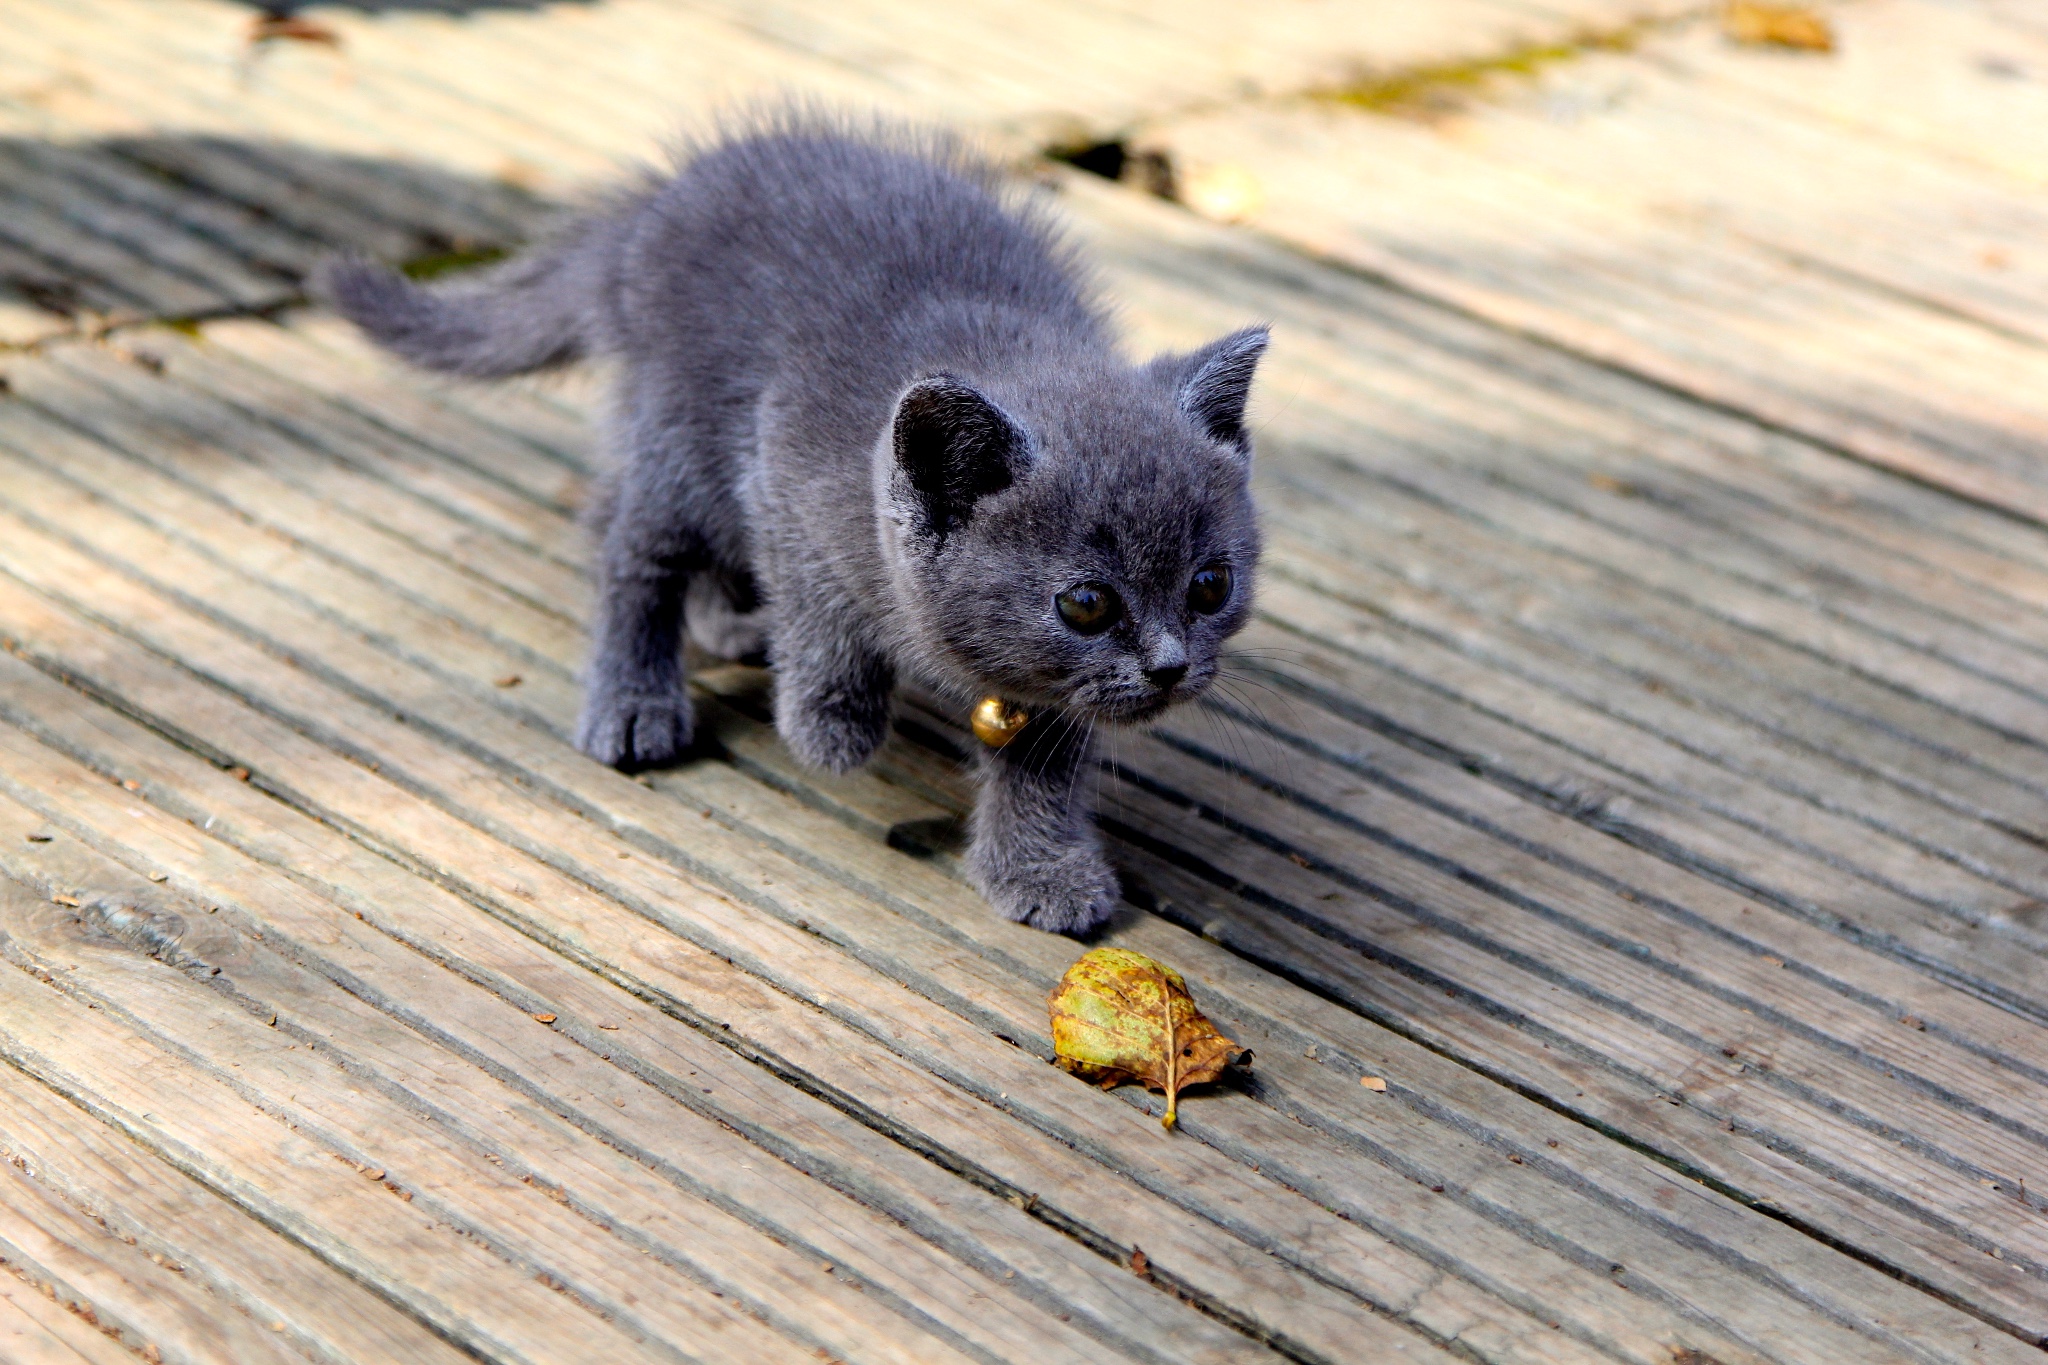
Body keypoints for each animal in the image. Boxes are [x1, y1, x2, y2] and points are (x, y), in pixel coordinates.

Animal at [317, 114, 1261, 941]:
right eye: (1088, 604)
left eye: (1210, 585)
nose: (1171, 666)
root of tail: (646, 216)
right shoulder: (779, 469)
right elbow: (815, 607)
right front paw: (830, 721)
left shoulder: (1048, 685)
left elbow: (1043, 757)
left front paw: (1040, 868)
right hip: (678, 429)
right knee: (631, 547)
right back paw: (634, 698)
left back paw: (728, 620)